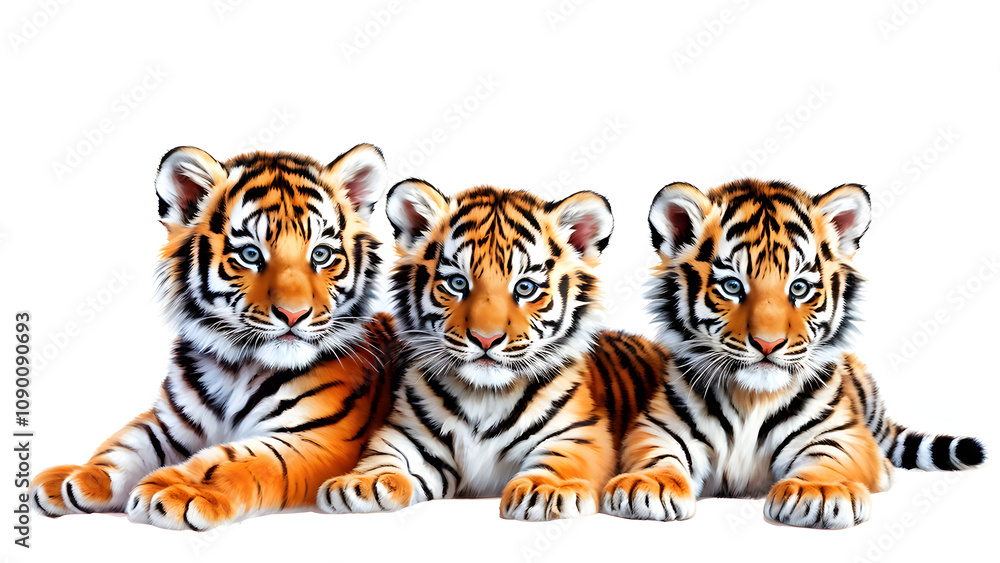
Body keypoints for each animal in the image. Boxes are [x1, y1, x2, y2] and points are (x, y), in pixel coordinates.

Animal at [29, 143, 402, 530]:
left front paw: (176, 491)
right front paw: (75, 477)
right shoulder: (168, 423)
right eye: (250, 254)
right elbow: (124, 445)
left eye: (321, 254)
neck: (238, 366)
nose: (293, 315)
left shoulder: (317, 439)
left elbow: (230, 461)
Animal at [316, 181, 662, 520]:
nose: (486, 339)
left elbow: (561, 459)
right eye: (457, 283)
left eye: (525, 288)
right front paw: (360, 483)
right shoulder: (409, 435)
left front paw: (545, 490)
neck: (484, 395)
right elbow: (385, 456)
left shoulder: (580, 433)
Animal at [602, 179, 987, 529]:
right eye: (732, 286)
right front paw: (648, 485)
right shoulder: (658, 427)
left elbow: (830, 456)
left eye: (799, 288)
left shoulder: (842, 433)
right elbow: (658, 455)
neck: (751, 398)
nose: (768, 344)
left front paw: (820, 492)